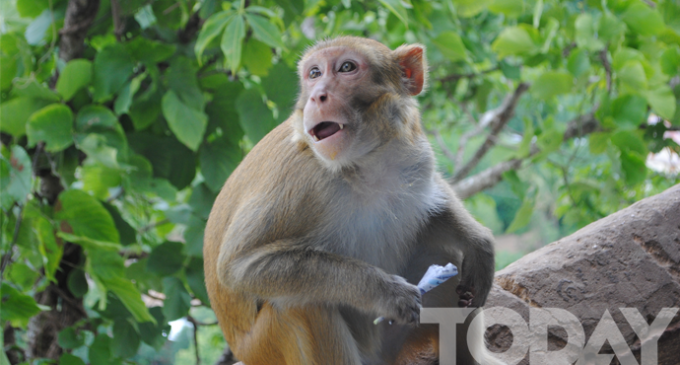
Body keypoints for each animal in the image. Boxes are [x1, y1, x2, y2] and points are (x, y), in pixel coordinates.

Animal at [205, 36, 502, 364]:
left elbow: (431, 211)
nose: (317, 96)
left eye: (346, 68)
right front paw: (384, 291)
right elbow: (239, 267)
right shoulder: (298, 179)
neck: (363, 159)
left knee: (441, 258)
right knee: (302, 303)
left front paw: (478, 242)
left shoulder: (416, 153)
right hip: (268, 346)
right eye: (314, 73)